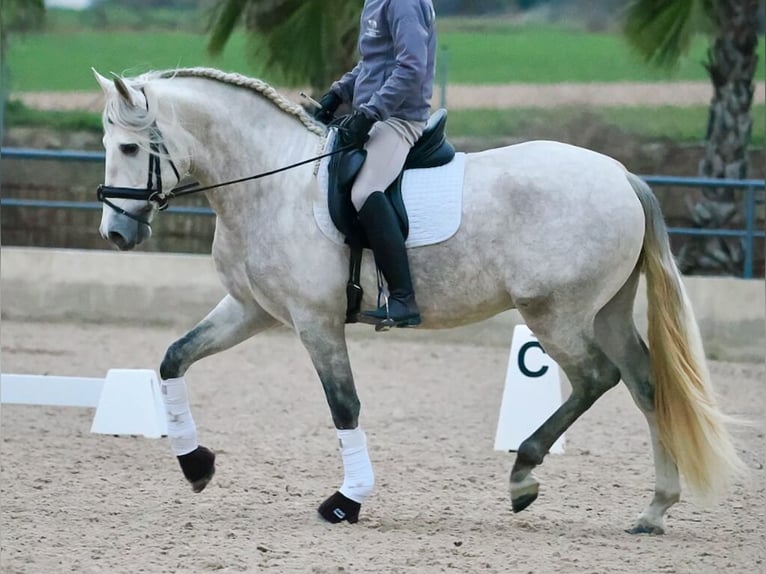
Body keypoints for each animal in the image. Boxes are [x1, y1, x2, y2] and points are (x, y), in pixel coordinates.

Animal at [94, 67, 744, 536]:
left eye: (128, 147)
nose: (116, 234)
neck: (272, 181)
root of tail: (623, 176)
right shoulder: (251, 309)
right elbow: (173, 359)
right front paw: (195, 465)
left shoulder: (316, 320)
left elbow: (344, 406)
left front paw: (346, 502)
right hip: (603, 312)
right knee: (644, 383)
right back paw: (654, 510)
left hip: (555, 314)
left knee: (596, 378)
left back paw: (524, 476)